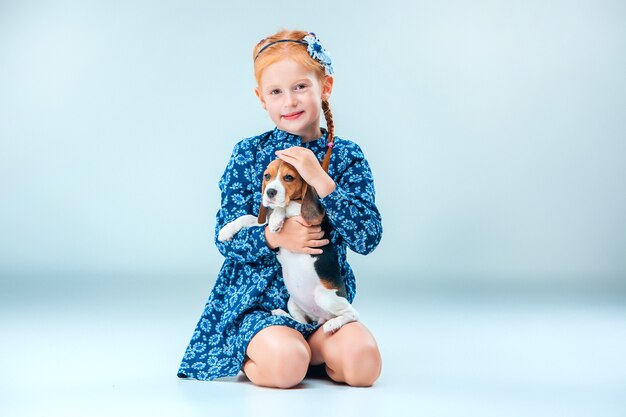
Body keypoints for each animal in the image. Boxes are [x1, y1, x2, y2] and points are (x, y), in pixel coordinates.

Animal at [218, 158, 356, 334]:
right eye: (267, 176)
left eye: (289, 177)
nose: (270, 192)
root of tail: (320, 317)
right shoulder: (261, 222)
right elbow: (246, 217)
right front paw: (225, 231)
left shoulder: (309, 218)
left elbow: (286, 205)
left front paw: (276, 219)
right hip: (293, 303)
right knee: (302, 324)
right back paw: (281, 313)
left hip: (325, 297)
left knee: (353, 314)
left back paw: (334, 323)